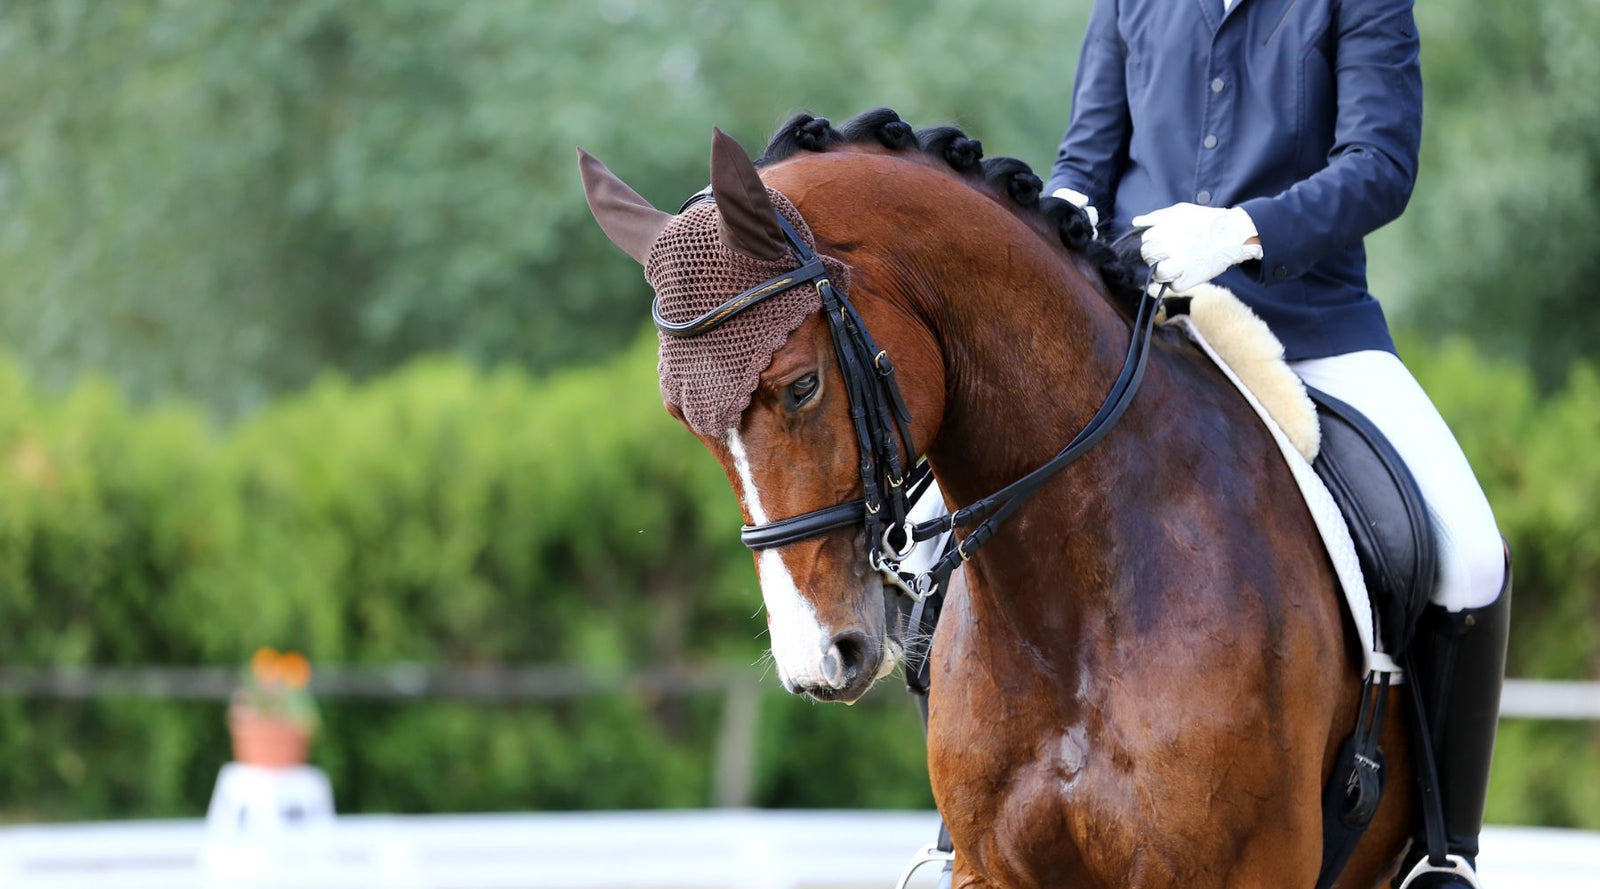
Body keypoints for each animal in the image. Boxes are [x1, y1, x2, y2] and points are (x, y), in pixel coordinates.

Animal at [579, 109, 1416, 888]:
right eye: (687, 421)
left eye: (801, 386)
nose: (817, 658)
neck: (1074, 614)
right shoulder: (995, 868)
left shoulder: (1244, 870)